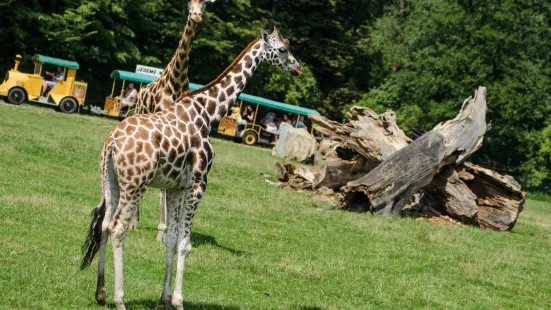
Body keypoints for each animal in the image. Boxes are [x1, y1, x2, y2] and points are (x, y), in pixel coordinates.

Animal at [81, 24, 306, 310]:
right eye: (283, 49)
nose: (298, 69)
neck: (208, 113)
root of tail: (111, 144)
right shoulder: (198, 184)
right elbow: (185, 244)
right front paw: (179, 301)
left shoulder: (176, 187)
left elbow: (171, 239)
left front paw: (165, 298)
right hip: (135, 184)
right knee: (119, 229)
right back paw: (119, 300)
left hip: (109, 181)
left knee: (104, 224)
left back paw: (100, 293)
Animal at [130, 0, 217, 240]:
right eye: (189, 4)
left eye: (205, 4)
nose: (196, 16)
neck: (175, 81)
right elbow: (163, 186)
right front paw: (162, 230)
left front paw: (173, 227)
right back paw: (134, 221)